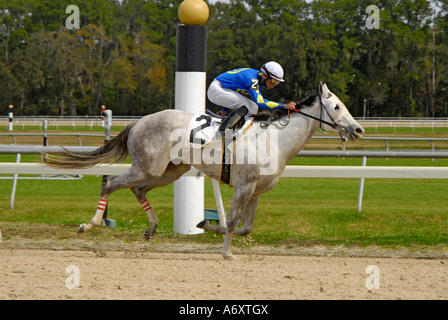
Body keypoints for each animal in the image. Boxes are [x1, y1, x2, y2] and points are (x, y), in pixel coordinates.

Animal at [45, 82, 364, 260]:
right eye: (337, 106)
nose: (358, 129)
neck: (274, 138)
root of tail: (138, 122)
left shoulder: (256, 191)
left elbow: (245, 227)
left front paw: (206, 225)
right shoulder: (244, 187)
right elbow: (234, 222)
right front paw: (226, 252)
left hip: (168, 170)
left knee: (137, 189)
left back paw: (151, 227)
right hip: (148, 167)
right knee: (110, 182)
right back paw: (90, 224)